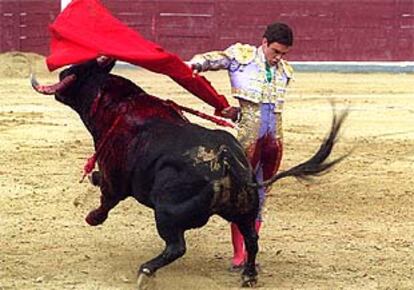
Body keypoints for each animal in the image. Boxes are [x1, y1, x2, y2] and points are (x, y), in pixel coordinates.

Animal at [31, 59, 346, 288]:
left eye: (78, 70)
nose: (63, 71)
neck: (117, 106)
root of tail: (230, 162)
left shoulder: (115, 179)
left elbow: (104, 194)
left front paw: (92, 216)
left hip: (166, 213)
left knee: (176, 246)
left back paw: (146, 271)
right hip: (244, 210)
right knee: (252, 239)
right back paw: (248, 275)